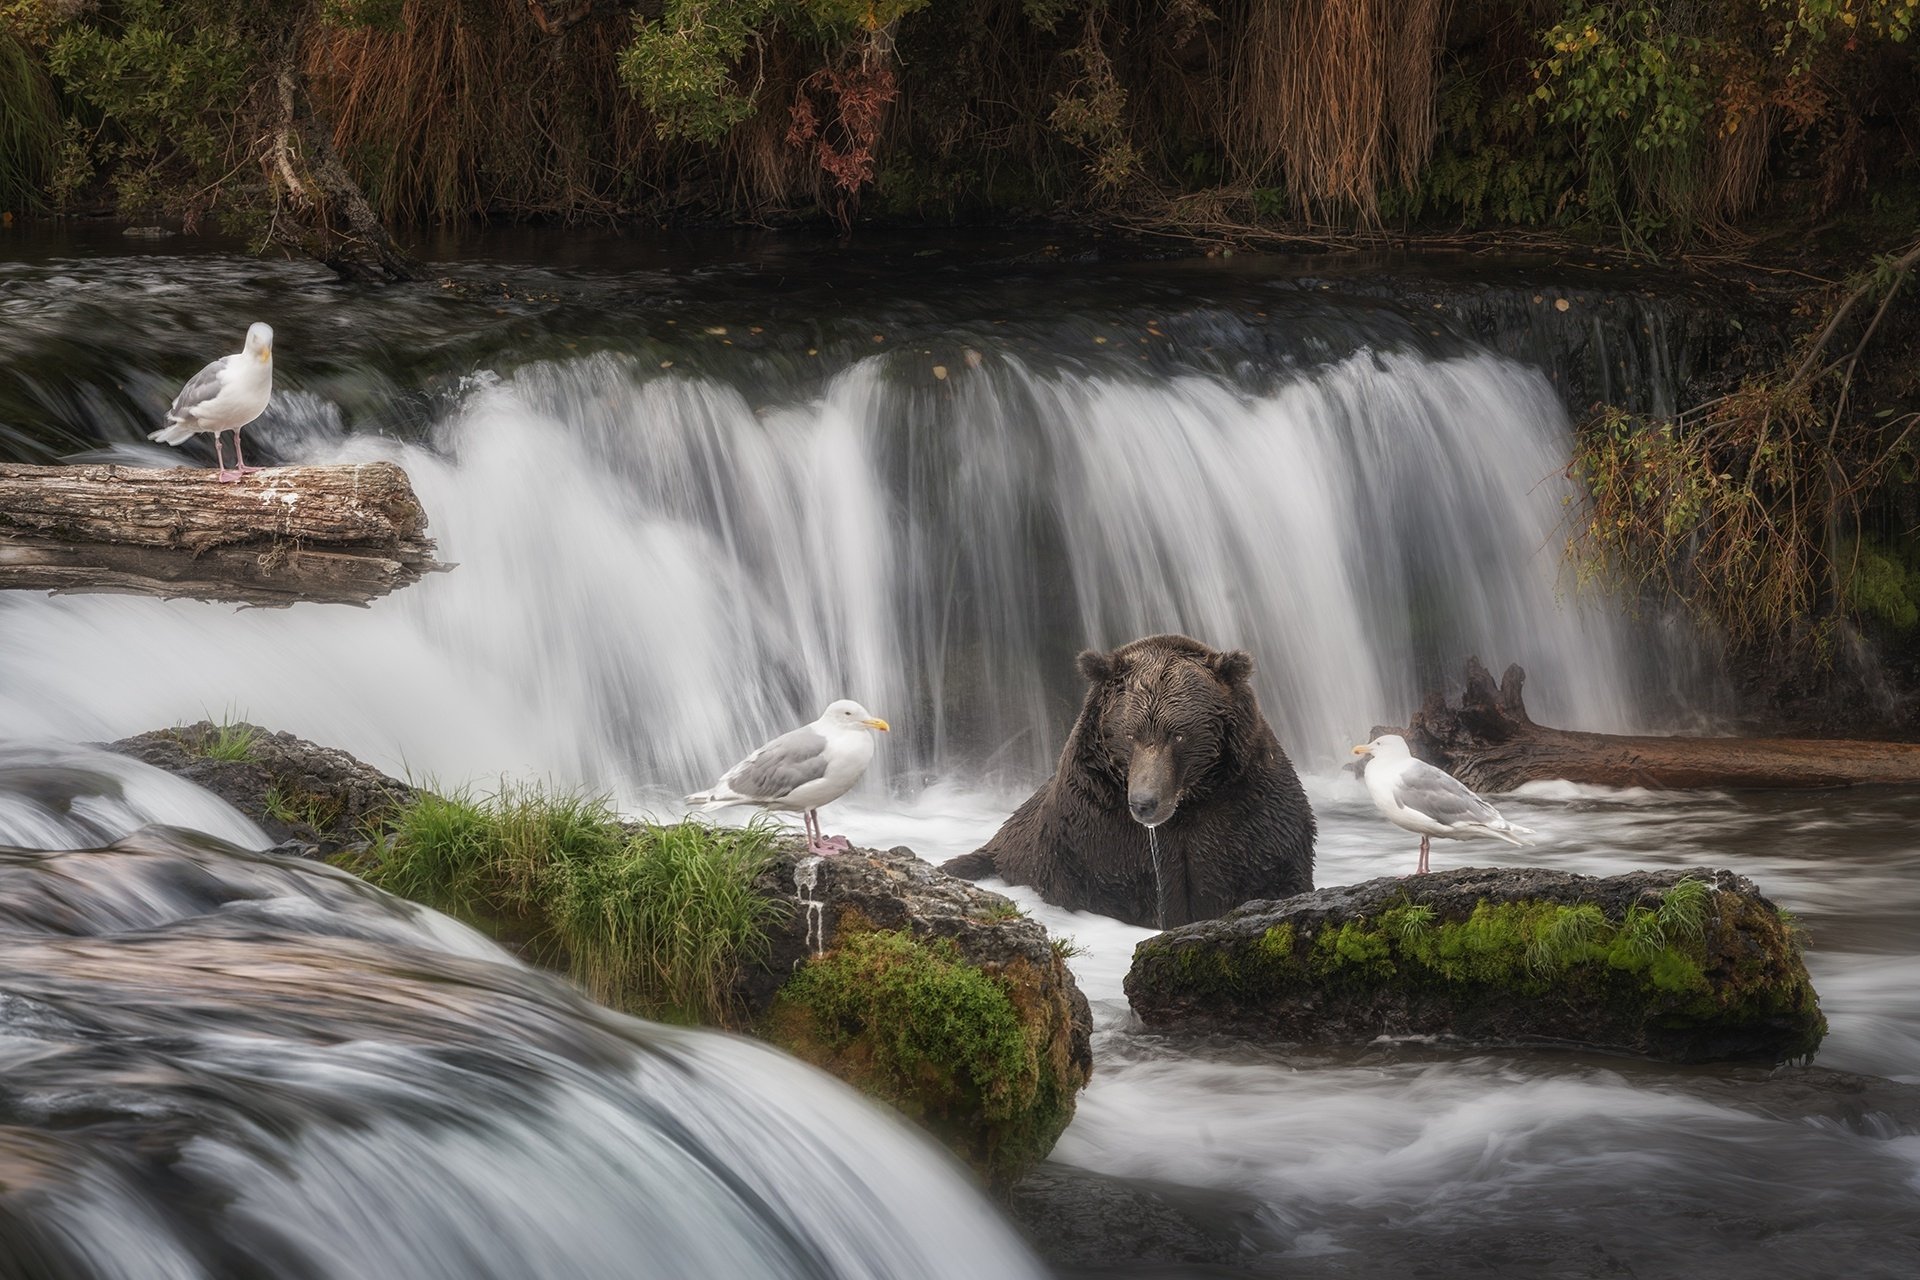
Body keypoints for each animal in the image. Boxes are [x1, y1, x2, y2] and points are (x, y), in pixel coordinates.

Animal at [936, 633, 1313, 924]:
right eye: (1130, 734)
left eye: (1178, 734)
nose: (1145, 803)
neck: (1186, 805)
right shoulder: (1097, 831)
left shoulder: (1246, 814)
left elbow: (1268, 875)